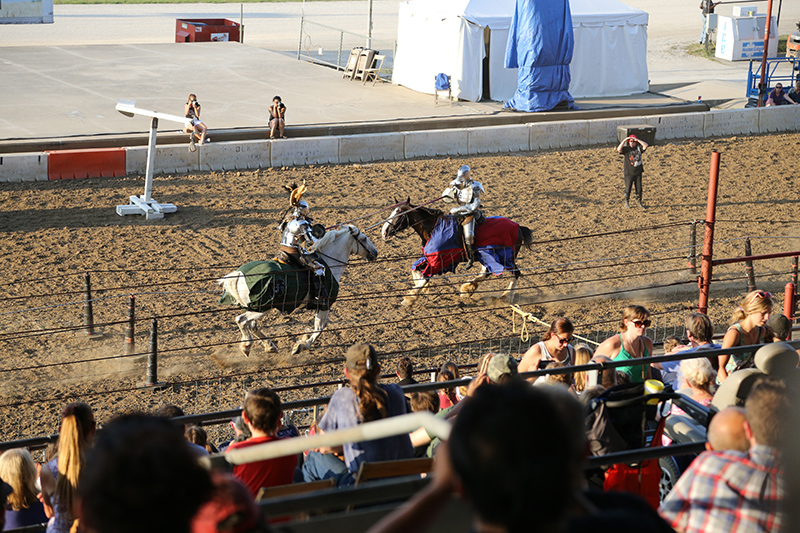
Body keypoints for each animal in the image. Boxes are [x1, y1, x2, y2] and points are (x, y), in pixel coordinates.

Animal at [217, 223, 380, 354]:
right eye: (364, 239)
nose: (375, 252)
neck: (328, 263)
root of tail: (239, 274)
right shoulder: (324, 305)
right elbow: (320, 327)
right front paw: (301, 346)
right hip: (263, 307)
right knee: (242, 320)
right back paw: (247, 346)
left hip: (258, 308)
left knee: (251, 324)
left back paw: (270, 346)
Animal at [380, 200, 532, 306]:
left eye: (399, 214)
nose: (384, 231)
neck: (434, 228)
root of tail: (518, 227)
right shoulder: (430, 258)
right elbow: (416, 268)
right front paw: (419, 287)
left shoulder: (438, 261)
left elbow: (425, 276)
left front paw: (410, 298)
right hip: (489, 256)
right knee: (487, 272)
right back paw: (468, 288)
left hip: (506, 257)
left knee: (515, 273)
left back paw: (506, 296)